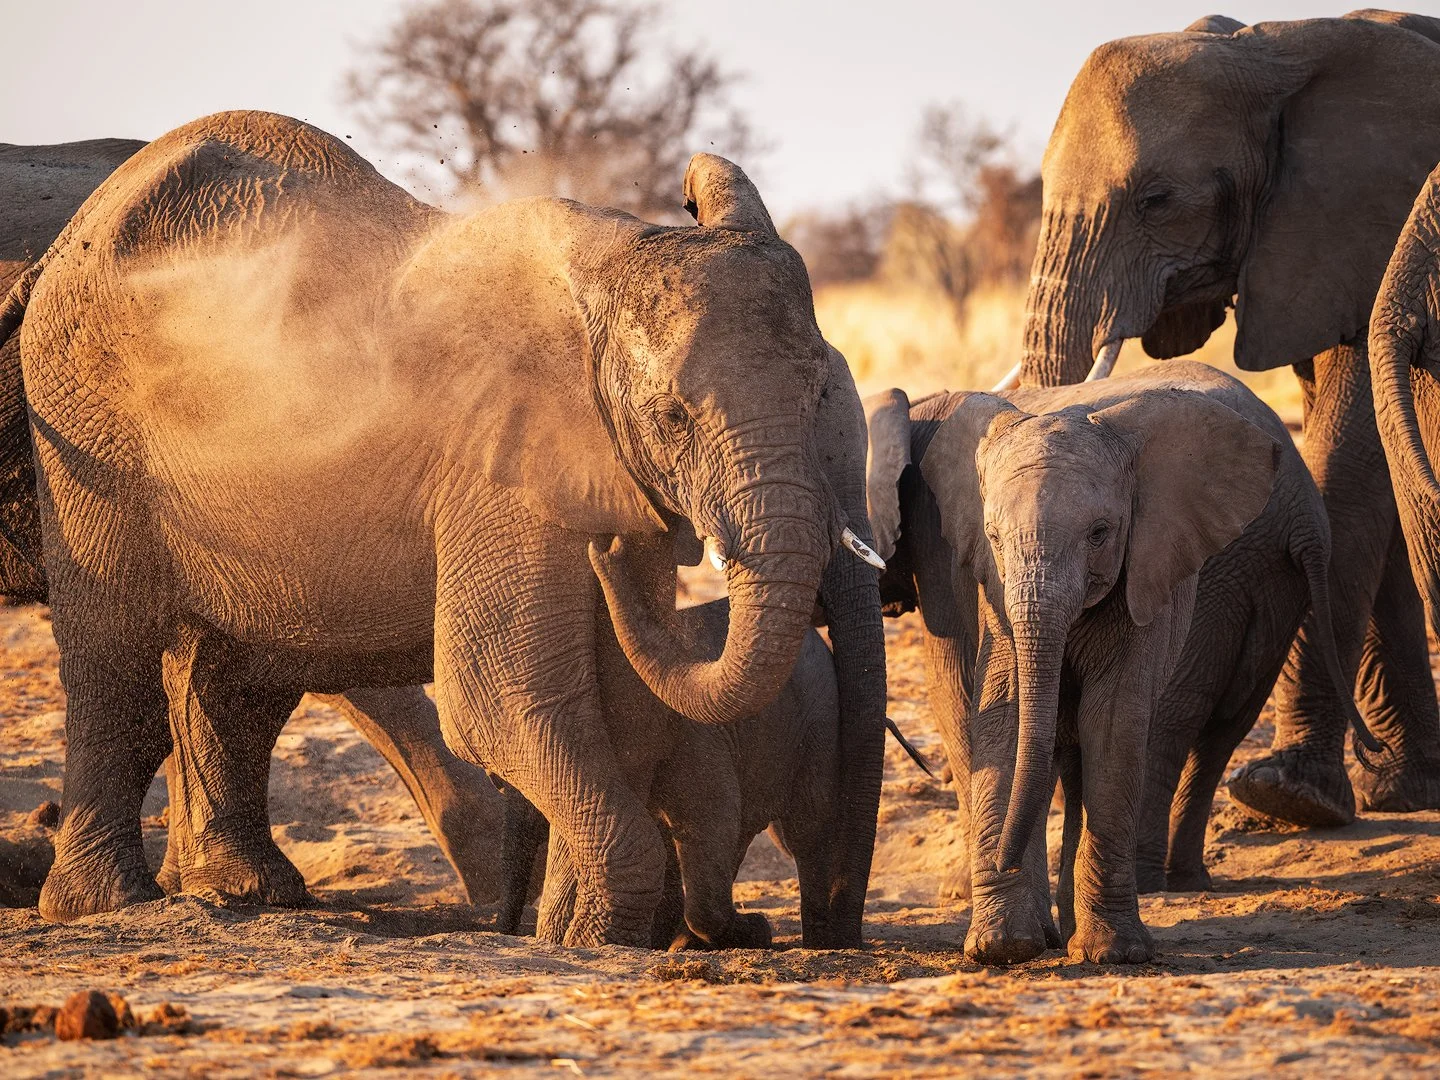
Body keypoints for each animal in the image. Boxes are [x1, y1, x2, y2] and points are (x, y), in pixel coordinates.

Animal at [865, 363, 1378, 964]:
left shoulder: (1142, 564)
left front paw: (1113, 953)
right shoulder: (969, 571)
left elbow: (1109, 722)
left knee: (1168, 719)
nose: (1001, 860)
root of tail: (1306, 516)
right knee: (1222, 724)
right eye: (993, 536)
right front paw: (1004, 947)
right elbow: (1002, 714)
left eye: (1100, 533)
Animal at [1018, 9, 1440, 827]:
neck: (1273, 46)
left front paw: (1290, 796)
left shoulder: (1369, 225)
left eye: (1156, 199)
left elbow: (1351, 459)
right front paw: (1401, 791)